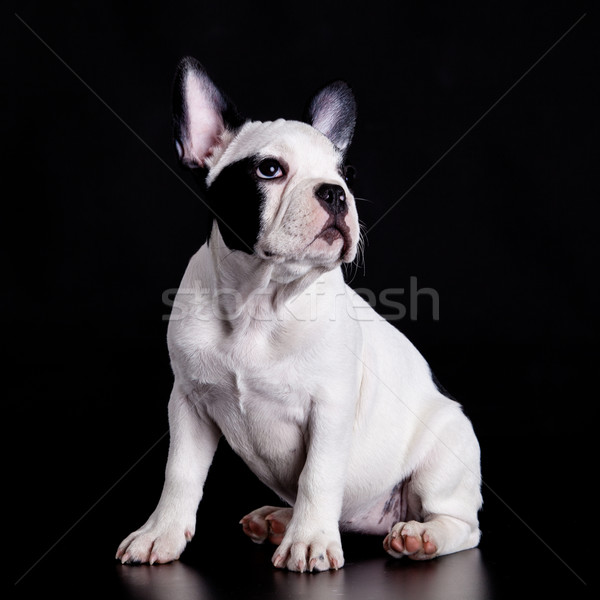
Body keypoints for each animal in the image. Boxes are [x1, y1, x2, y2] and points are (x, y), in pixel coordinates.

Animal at [116, 57, 482, 572]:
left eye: (345, 172)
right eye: (270, 169)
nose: (335, 192)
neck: (260, 304)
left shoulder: (329, 408)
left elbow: (317, 476)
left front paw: (309, 541)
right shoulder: (188, 402)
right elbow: (180, 473)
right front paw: (160, 534)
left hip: (443, 459)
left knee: (463, 525)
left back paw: (419, 536)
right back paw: (278, 519)